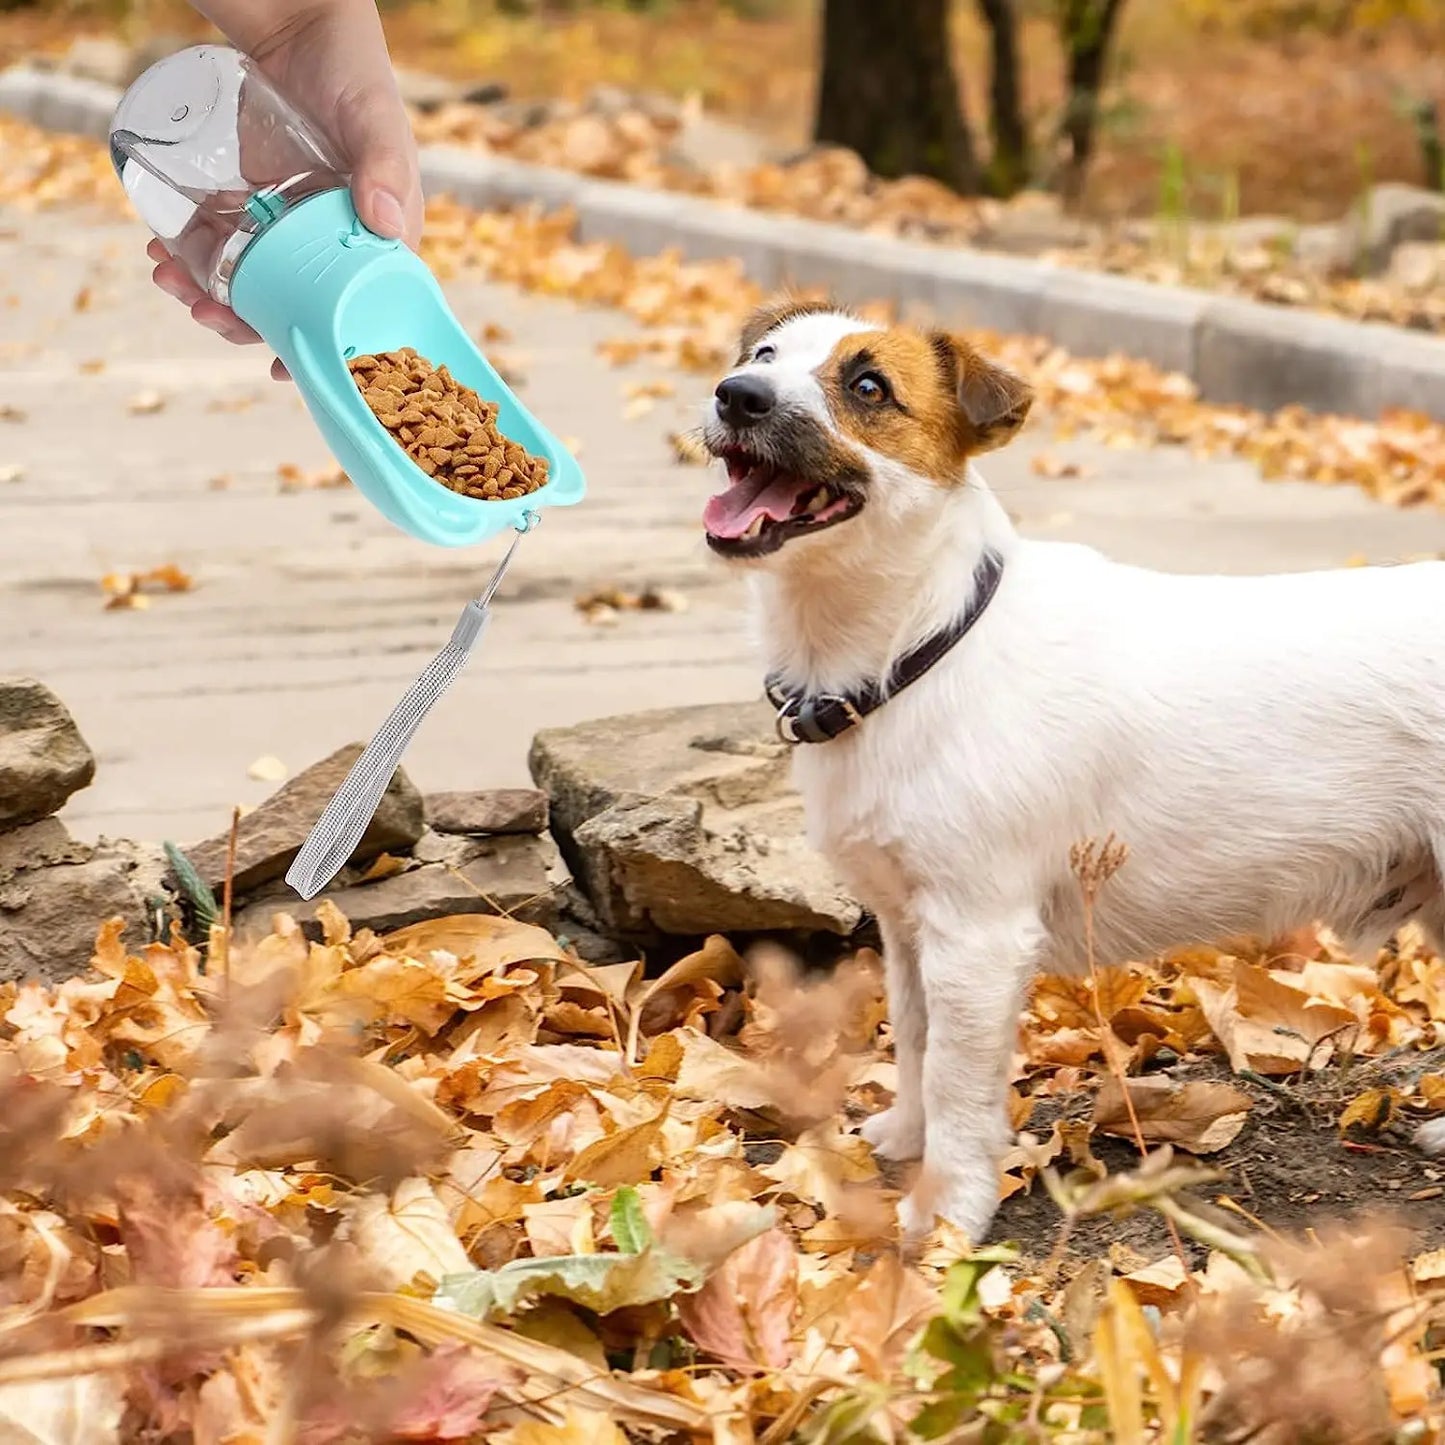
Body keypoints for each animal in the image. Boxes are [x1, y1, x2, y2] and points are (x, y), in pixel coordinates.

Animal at [705, 299, 1445, 1236]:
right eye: (763, 355)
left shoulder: (976, 938)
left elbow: (956, 1080)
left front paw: (946, 1211)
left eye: (868, 386)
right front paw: (906, 1134)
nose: (737, 395)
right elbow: (912, 1039)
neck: (923, 641)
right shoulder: (908, 927)